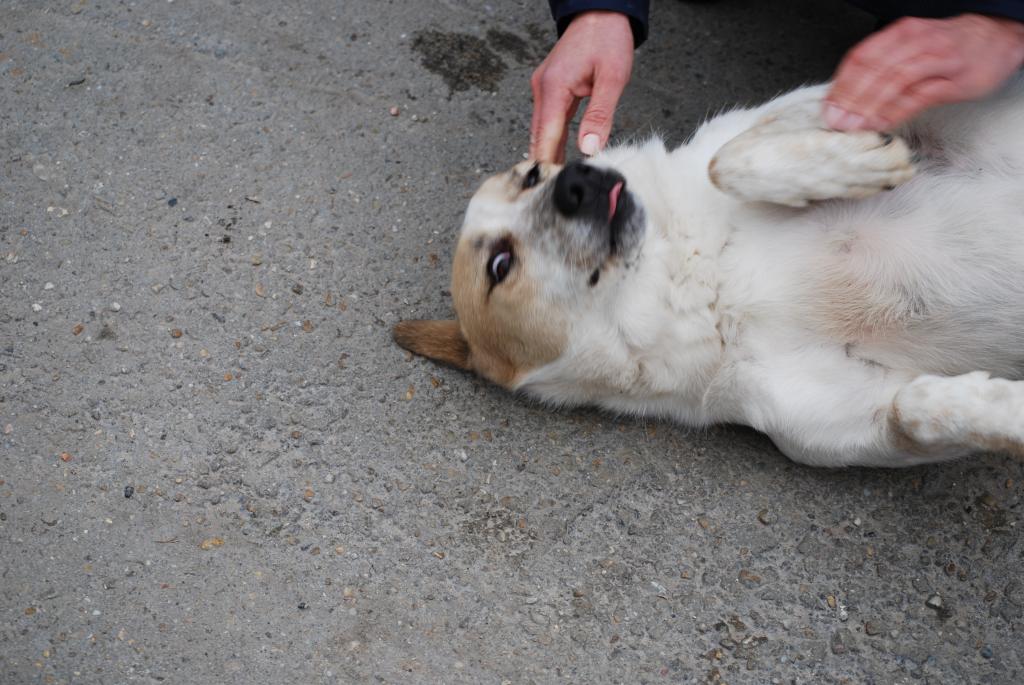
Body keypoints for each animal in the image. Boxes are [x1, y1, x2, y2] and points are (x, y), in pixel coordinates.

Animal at [393, 77, 1024, 466]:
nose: (577, 178)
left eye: (531, 175)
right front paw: (1008, 410)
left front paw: (847, 166)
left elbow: (730, 158)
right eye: (499, 266)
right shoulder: (839, 421)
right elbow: (915, 409)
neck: (698, 275)